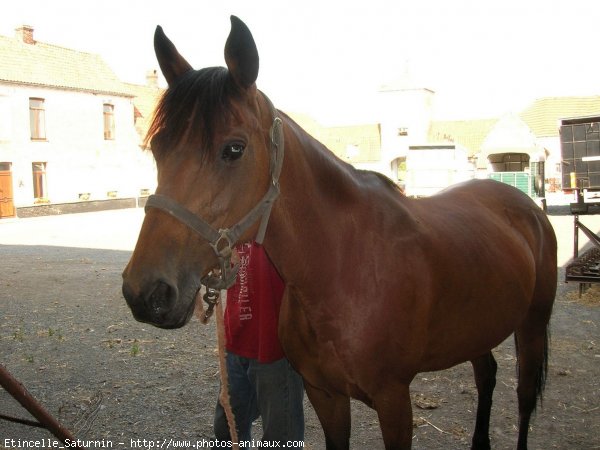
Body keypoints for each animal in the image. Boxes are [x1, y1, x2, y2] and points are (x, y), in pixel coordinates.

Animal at [122, 15, 556, 450]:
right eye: (157, 147)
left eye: (233, 149)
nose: (145, 292)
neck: (343, 267)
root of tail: (521, 201)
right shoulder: (324, 394)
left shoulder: (394, 400)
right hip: (478, 329)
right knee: (487, 375)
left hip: (532, 324)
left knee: (524, 397)